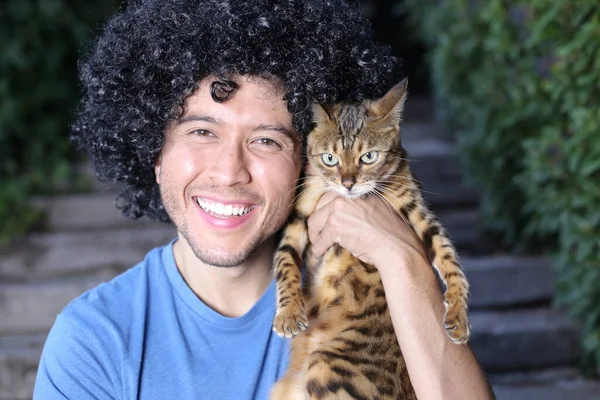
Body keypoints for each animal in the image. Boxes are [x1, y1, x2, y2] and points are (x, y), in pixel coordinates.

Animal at [270, 79, 472, 400]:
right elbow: (285, 264)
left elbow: (449, 258)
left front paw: (458, 315)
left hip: (326, 366)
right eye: (330, 159)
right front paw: (288, 313)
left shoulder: (417, 210)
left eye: (368, 157)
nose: (348, 183)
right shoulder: (298, 218)